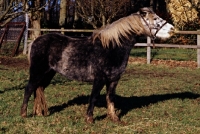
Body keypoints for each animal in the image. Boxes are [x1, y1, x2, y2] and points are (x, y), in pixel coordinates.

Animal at [19, 7, 173, 122]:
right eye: (155, 19)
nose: (172, 29)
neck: (112, 47)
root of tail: (35, 41)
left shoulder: (114, 80)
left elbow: (110, 98)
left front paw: (114, 118)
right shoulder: (99, 79)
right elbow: (93, 97)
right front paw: (89, 119)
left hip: (48, 74)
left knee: (38, 89)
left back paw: (40, 113)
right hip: (37, 72)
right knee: (29, 89)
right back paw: (24, 114)